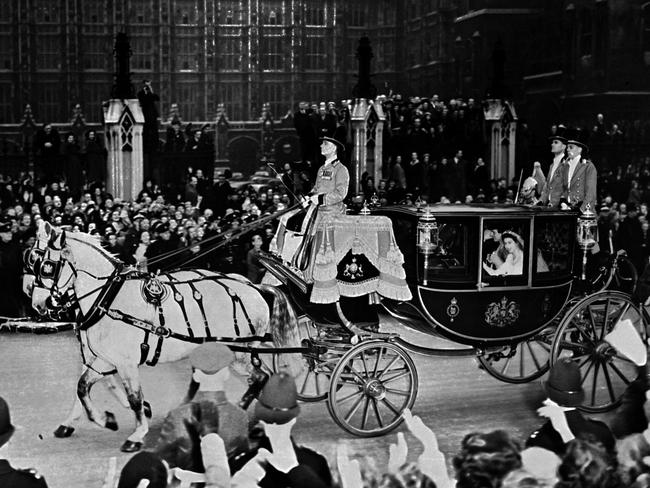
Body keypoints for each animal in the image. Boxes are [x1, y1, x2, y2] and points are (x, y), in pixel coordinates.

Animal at [31, 227, 300, 452]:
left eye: (46, 266)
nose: (38, 304)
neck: (108, 298)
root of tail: (254, 287)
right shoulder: (104, 359)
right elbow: (82, 387)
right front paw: (100, 419)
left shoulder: (125, 363)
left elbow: (134, 398)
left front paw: (137, 434)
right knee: (254, 378)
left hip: (238, 353)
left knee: (260, 377)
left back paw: (236, 414)